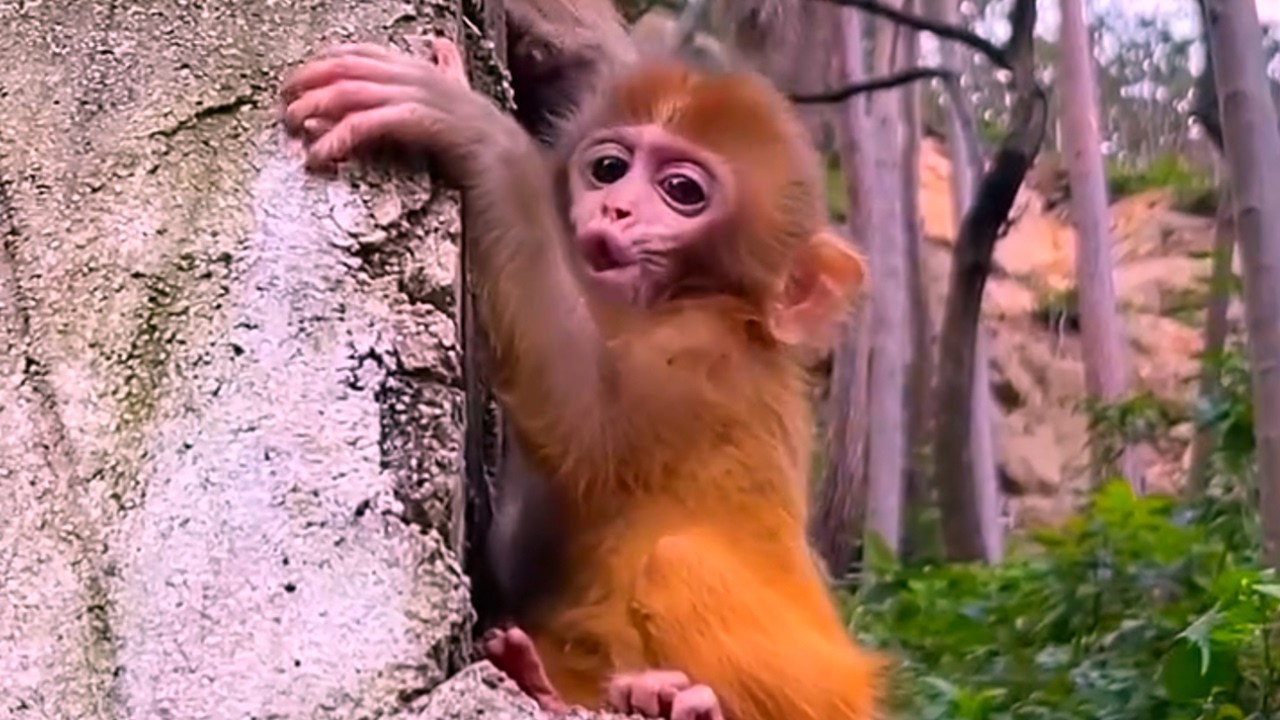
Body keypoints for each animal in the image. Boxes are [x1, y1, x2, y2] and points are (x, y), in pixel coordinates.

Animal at [281, 30, 881, 720]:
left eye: (682, 190)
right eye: (610, 169)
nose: (616, 209)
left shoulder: (703, 354)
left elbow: (590, 428)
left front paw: (477, 135)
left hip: (826, 694)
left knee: (678, 561)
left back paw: (676, 700)